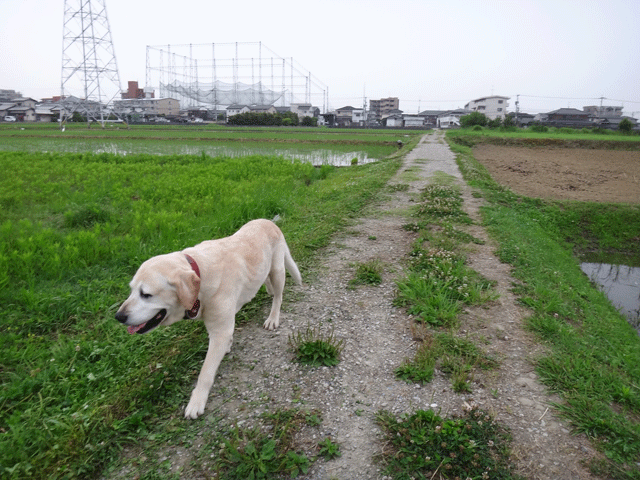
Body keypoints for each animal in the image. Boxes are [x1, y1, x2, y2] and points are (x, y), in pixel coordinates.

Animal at [115, 219, 302, 418]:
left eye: (146, 294)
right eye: (131, 290)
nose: (119, 316)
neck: (201, 276)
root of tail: (268, 221)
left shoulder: (220, 332)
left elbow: (205, 372)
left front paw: (197, 401)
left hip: (277, 270)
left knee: (279, 296)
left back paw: (273, 316)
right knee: (266, 281)